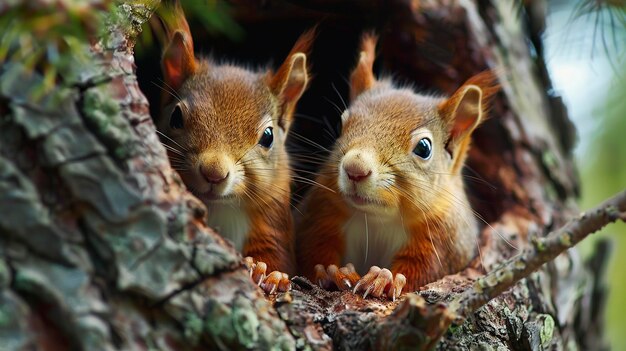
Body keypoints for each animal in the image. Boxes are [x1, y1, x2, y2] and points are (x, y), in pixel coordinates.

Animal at [151, 0, 308, 294]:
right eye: (176, 117)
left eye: (268, 136)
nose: (213, 172)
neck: (220, 209)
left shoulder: (273, 227)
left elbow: (279, 260)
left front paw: (267, 272)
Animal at [294, 34, 498, 302]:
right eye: (340, 125)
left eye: (424, 147)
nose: (355, 168)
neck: (377, 220)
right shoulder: (321, 214)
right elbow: (313, 248)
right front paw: (332, 270)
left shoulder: (443, 240)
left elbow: (422, 271)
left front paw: (384, 277)